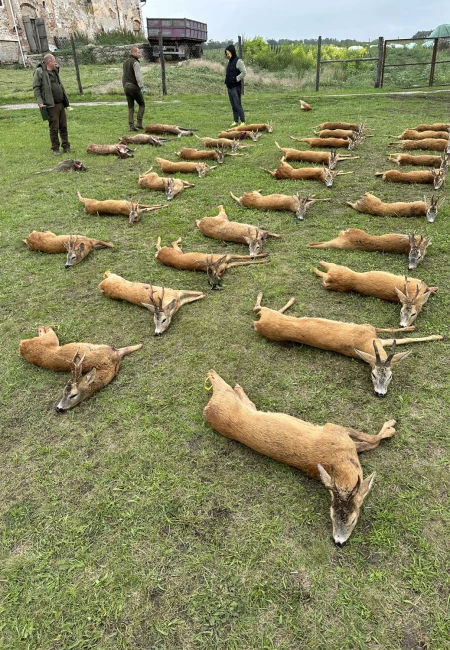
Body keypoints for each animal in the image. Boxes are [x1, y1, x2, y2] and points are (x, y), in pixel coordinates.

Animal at [204, 368, 398, 545]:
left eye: (353, 519)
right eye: (331, 515)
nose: (338, 542)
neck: (341, 460)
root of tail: (208, 409)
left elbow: (367, 443)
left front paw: (388, 427)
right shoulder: (334, 428)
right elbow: (371, 439)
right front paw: (391, 426)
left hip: (242, 406)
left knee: (247, 401)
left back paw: (237, 386)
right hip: (226, 397)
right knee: (218, 379)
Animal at [252, 292, 443, 397]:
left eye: (390, 376)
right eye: (373, 374)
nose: (379, 394)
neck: (365, 342)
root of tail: (258, 323)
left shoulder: (373, 334)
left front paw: (414, 328)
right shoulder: (368, 327)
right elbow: (394, 332)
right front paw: (436, 335)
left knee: (257, 310)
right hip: (271, 313)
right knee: (258, 308)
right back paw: (287, 298)